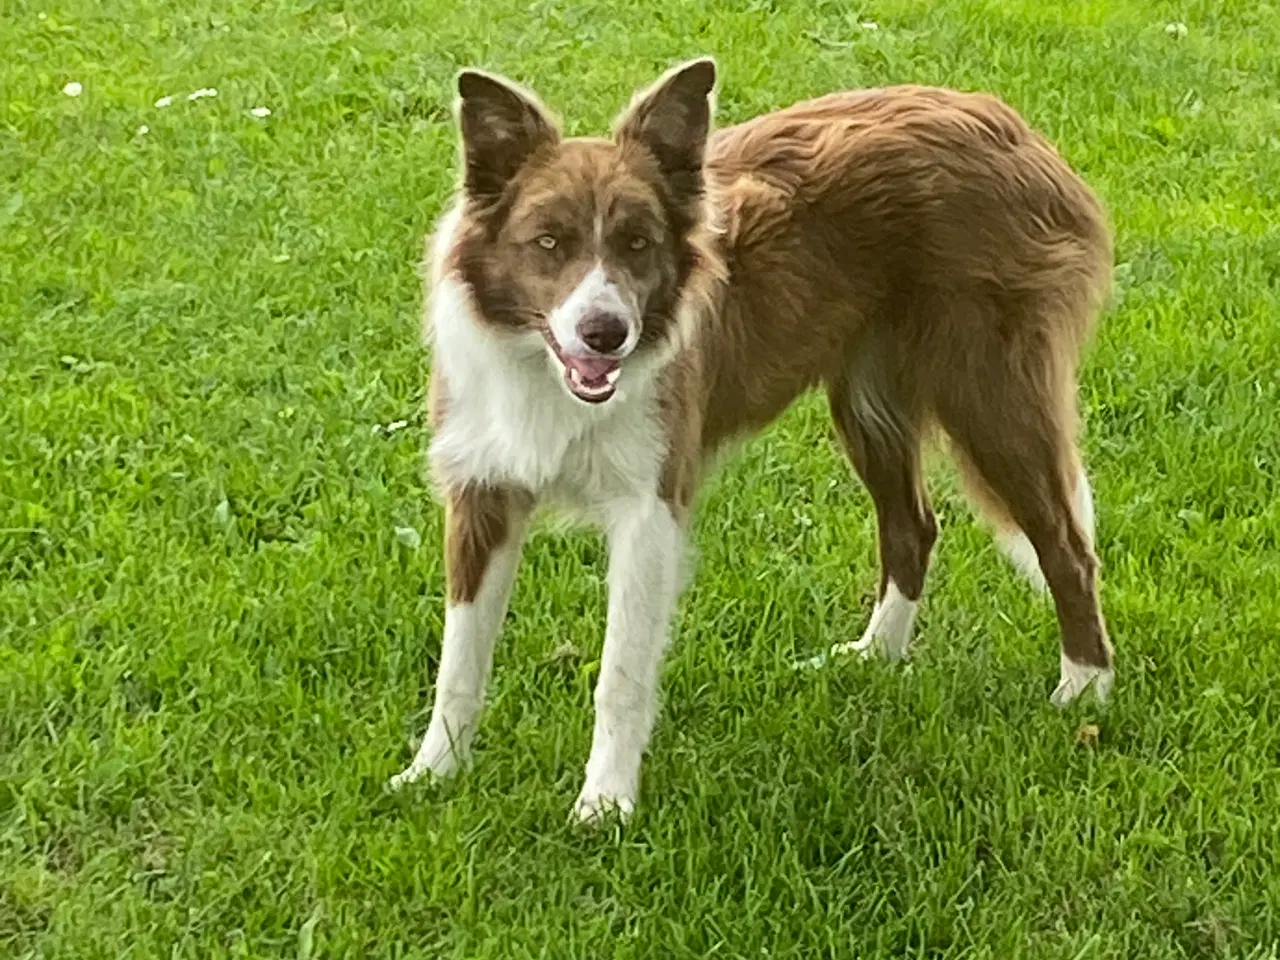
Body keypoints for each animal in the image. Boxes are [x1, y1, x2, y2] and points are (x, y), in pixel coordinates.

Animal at [386, 60, 1111, 824]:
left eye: (638, 243)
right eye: (548, 242)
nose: (605, 334)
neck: (547, 377)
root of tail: (1004, 120)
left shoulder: (649, 510)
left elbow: (620, 673)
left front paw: (606, 804)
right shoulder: (482, 491)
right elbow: (458, 660)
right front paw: (433, 773)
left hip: (990, 398)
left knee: (1067, 548)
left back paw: (1084, 691)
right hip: (868, 401)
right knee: (913, 526)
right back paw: (875, 656)